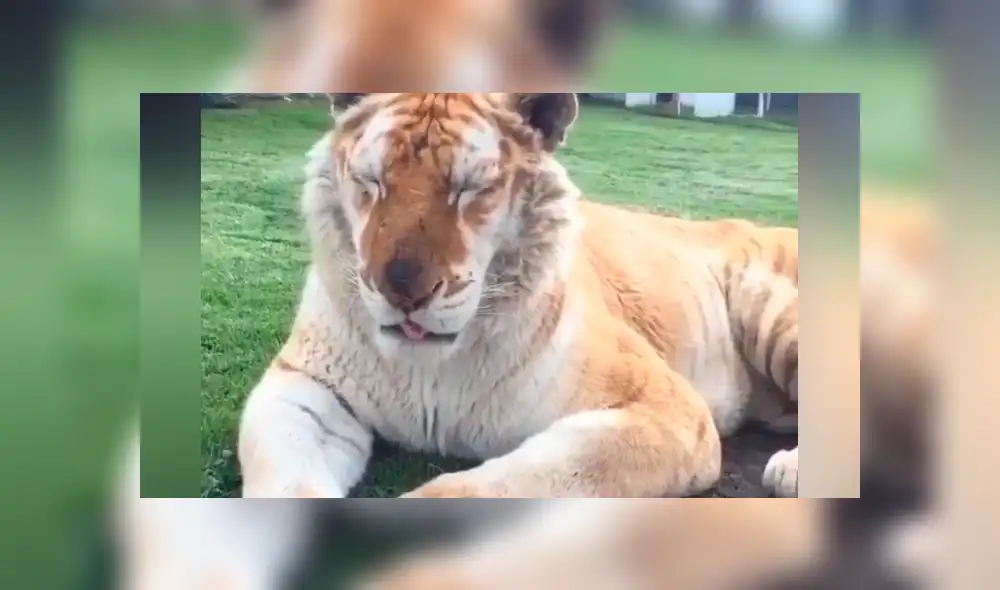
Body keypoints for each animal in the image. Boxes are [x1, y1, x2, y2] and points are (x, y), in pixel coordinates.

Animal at [236, 92, 801, 499]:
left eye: (469, 189)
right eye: (371, 181)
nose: (401, 292)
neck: (432, 367)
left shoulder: (663, 409)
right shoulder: (304, 386)